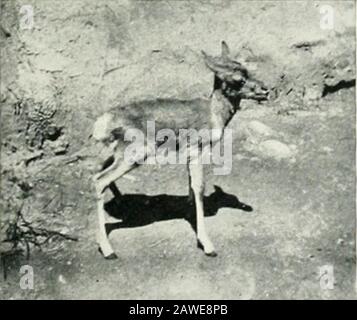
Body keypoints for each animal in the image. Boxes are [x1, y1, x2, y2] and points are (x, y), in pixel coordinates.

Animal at [92, 41, 268, 258]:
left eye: (247, 70)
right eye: (238, 79)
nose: (266, 90)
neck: (212, 114)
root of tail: (104, 121)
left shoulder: (188, 156)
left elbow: (191, 184)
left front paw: (188, 207)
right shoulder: (197, 152)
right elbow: (199, 186)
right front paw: (207, 244)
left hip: (117, 154)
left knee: (101, 172)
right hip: (134, 156)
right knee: (99, 180)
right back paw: (109, 250)